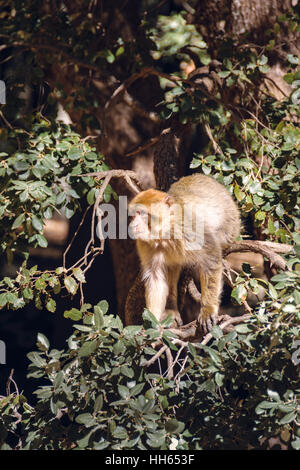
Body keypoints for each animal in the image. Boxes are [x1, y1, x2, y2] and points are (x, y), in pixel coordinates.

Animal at [127, 174, 240, 332]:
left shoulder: (191, 229)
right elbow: (155, 276)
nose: (133, 225)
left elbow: (210, 259)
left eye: (142, 213)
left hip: (231, 226)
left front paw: (208, 309)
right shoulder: (144, 244)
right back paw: (171, 309)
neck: (165, 232)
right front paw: (151, 324)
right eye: (133, 216)